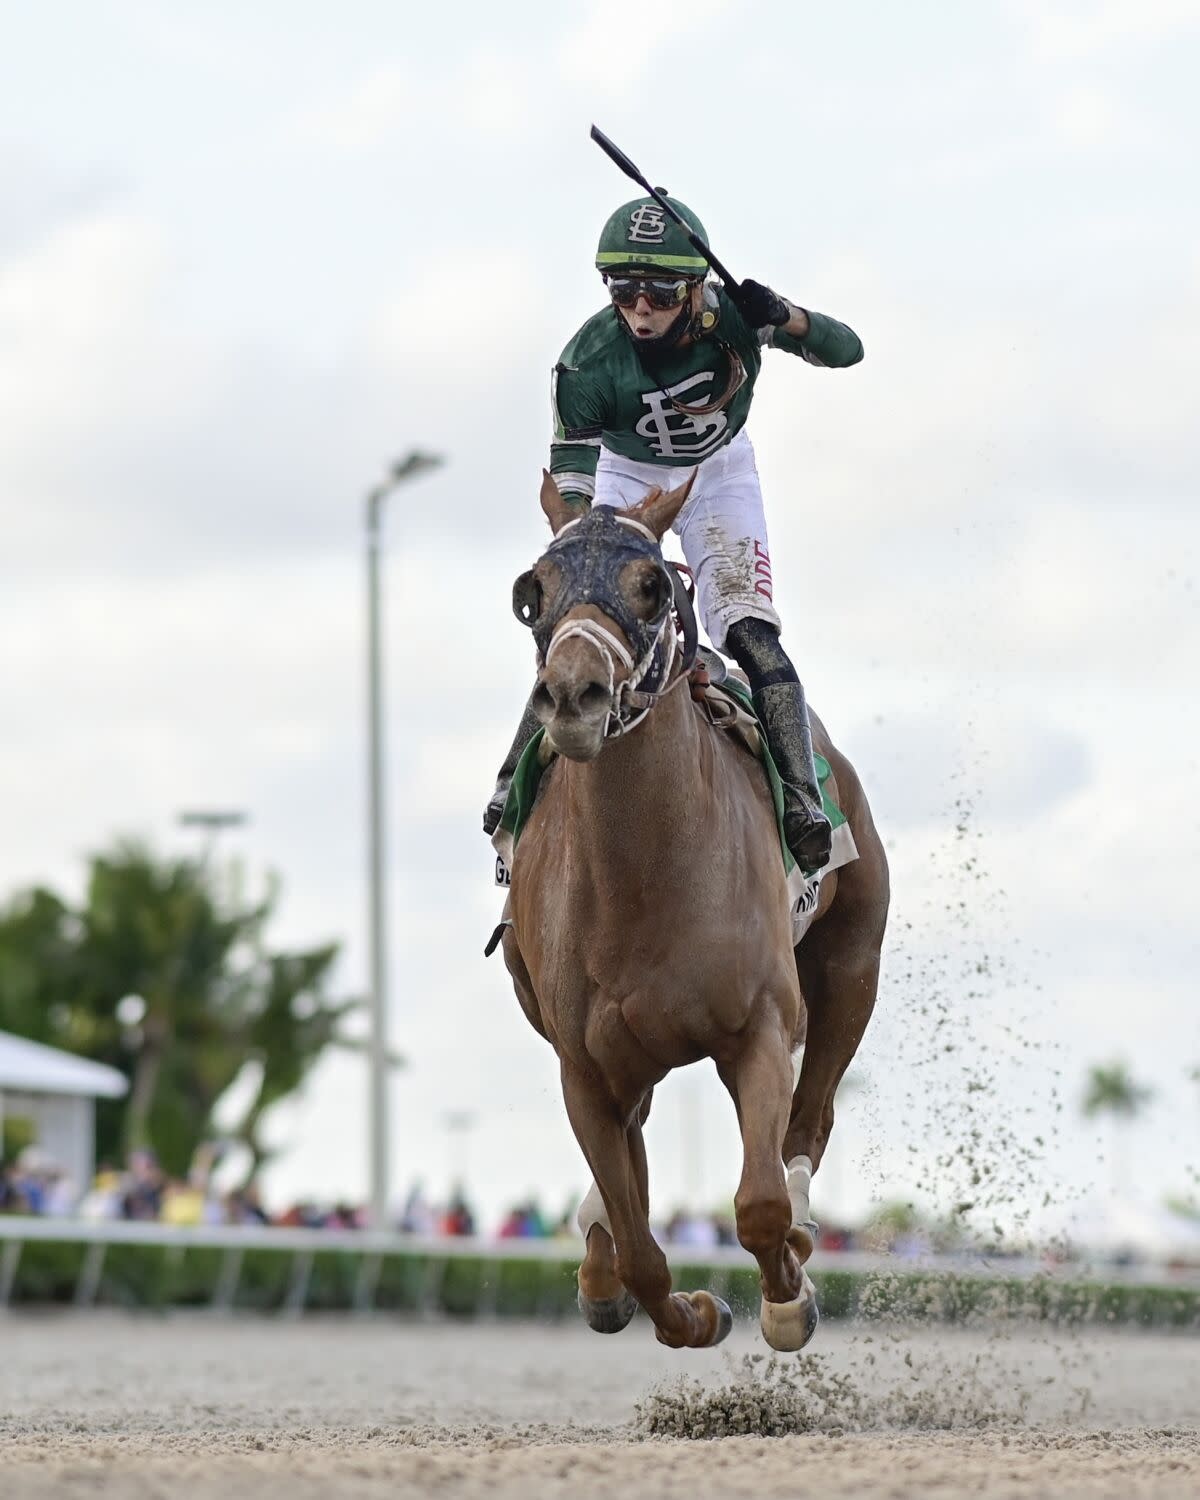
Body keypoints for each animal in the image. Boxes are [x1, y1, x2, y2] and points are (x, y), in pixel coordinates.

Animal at [498, 468, 888, 1350]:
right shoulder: (583, 1069)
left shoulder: (763, 1027)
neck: (647, 877)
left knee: (811, 1121)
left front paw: (787, 1301)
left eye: (652, 586)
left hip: (853, 965)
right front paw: (691, 1311)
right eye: (534, 592)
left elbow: (759, 1204)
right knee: (634, 1154)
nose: (572, 694)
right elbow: (642, 1248)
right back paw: (598, 1258)